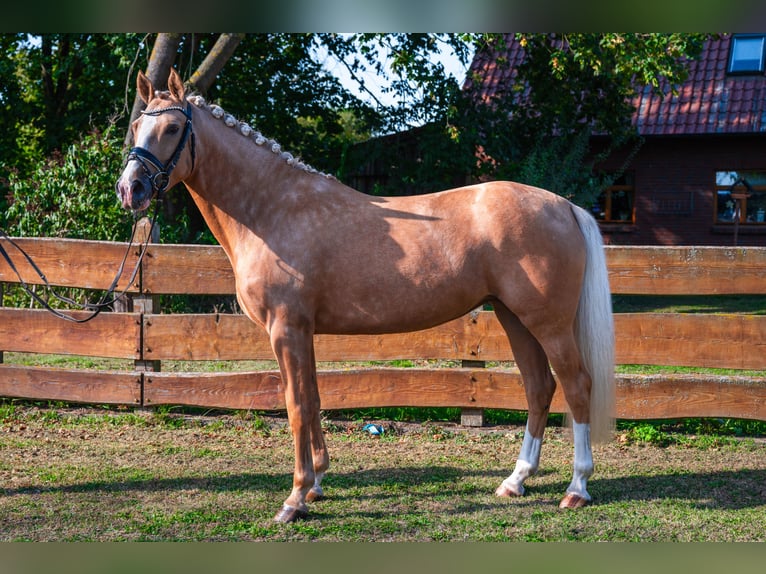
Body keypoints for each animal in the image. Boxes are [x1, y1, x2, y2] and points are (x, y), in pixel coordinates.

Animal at [115, 68, 616, 528]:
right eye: (138, 124)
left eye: (173, 128)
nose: (129, 189)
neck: (272, 209)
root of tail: (564, 206)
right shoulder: (303, 332)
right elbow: (313, 399)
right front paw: (316, 484)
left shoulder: (286, 329)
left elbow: (296, 406)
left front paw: (294, 500)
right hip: (514, 317)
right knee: (539, 387)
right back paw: (516, 481)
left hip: (548, 323)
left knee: (576, 385)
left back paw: (576, 488)